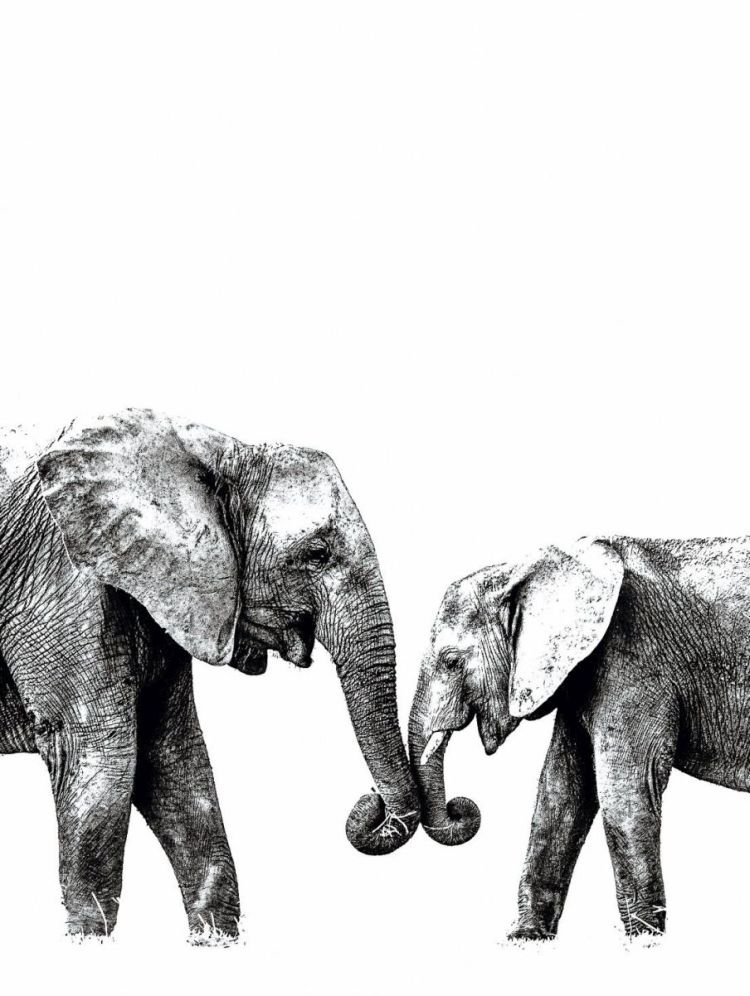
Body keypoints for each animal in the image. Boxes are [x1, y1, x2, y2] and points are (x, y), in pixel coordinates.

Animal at [0, 409, 419, 938]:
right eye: (317, 554)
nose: (370, 803)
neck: (216, 452)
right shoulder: (60, 576)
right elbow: (101, 755)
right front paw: (88, 942)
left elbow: (174, 759)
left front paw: (216, 939)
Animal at [409, 535, 750, 939]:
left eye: (451, 662)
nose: (459, 807)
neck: (522, 567)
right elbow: (561, 789)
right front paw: (526, 939)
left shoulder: (635, 659)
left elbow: (625, 790)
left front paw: (645, 941)